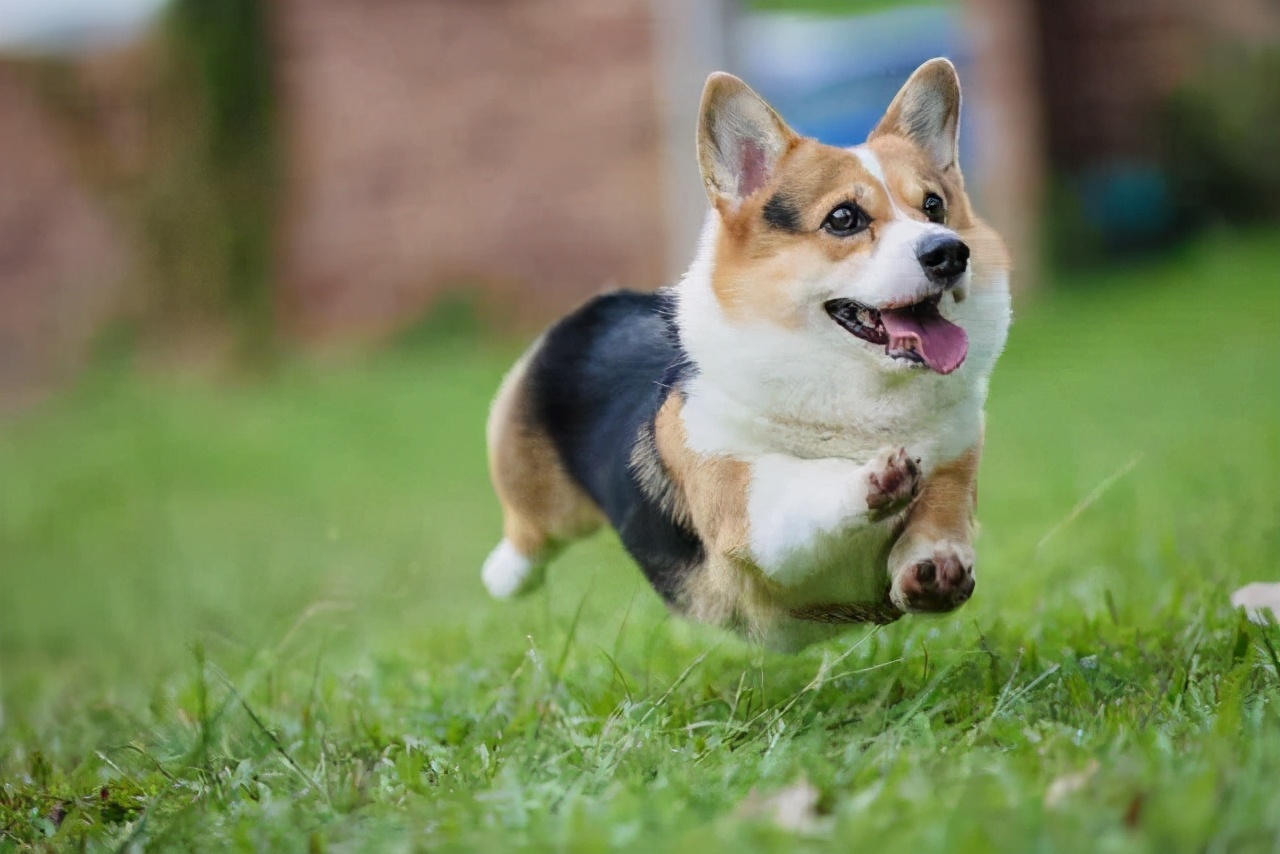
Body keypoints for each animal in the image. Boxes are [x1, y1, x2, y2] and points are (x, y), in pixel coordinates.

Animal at [481, 56, 1008, 650]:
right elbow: (797, 490)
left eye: (934, 207)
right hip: (541, 495)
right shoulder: (741, 501)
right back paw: (504, 574)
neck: (858, 396)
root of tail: (604, 302)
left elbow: (940, 517)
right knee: (527, 535)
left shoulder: (957, 462)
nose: (950, 252)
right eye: (844, 218)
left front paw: (936, 568)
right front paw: (873, 479)